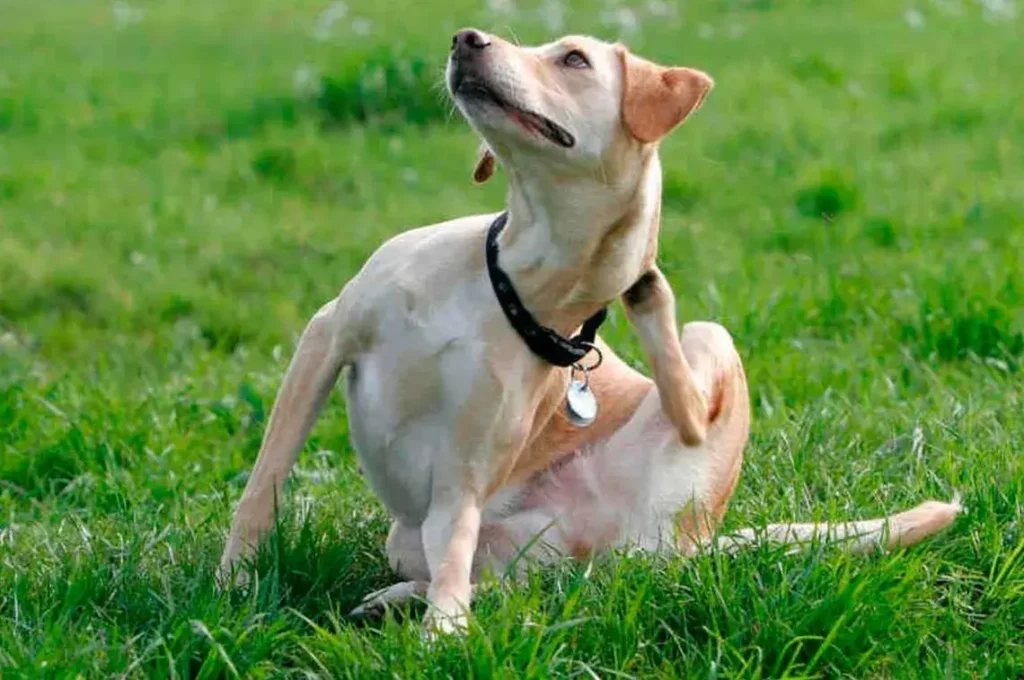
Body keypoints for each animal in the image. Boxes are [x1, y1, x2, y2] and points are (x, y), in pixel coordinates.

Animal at [220, 27, 962, 630]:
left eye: (573, 59)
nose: (466, 38)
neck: (510, 279)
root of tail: (693, 541)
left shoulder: (466, 465)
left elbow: (454, 544)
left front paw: (441, 636)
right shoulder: (326, 339)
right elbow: (265, 482)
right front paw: (235, 582)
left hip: (701, 362)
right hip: (427, 538)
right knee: (501, 581)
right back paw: (398, 600)